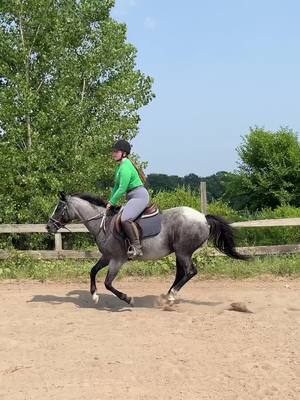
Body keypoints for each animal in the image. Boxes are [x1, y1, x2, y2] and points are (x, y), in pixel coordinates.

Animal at [46, 193, 248, 306]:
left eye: (60, 208)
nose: (49, 227)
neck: (104, 224)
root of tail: (203, 218)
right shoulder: (107, 257)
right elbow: (93, 271)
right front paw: (94, 296)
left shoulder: (117, 260)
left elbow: (108, 283)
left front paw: (128, 299)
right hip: (179, 253)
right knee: (180, 273)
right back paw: (166, 296)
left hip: (183, 252)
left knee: (190, 272)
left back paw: (171, 296)